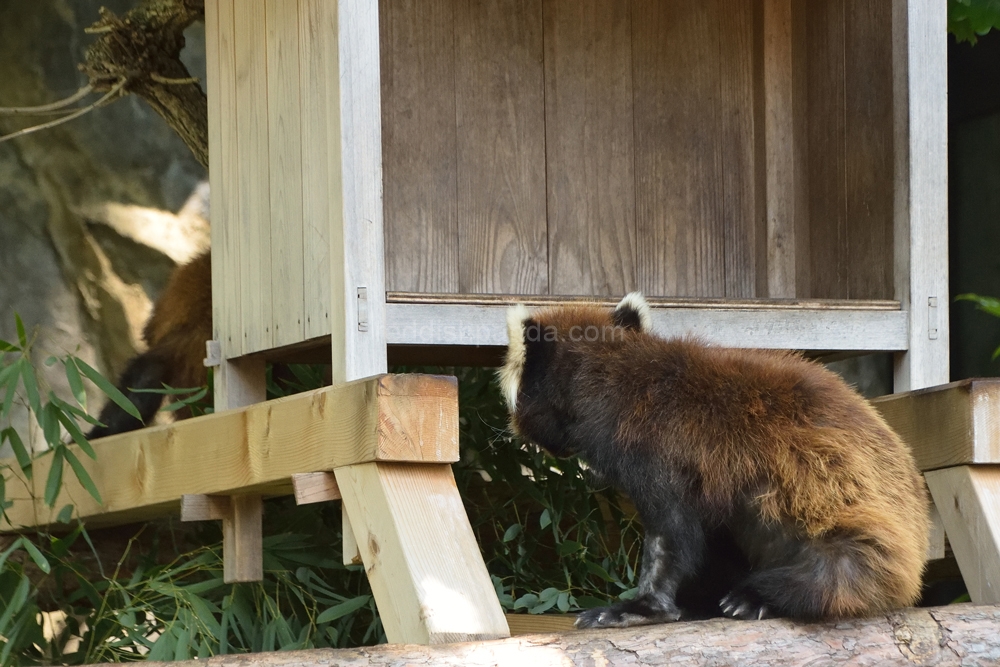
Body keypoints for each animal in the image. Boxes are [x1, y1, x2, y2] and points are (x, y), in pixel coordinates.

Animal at [504, 292, 932, 628]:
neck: (605, 376)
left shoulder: (654, 449)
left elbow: (671, 535)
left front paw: (640, 607)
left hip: (855, 533)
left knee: (832, 573)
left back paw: (752, 599)